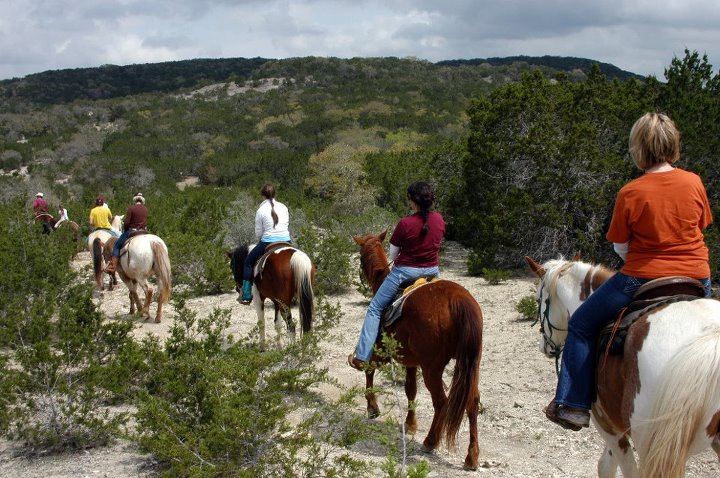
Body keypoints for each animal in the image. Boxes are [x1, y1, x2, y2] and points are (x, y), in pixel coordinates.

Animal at [350, 232, 484, 470]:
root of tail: (459, 300)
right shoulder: (411, 360)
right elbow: (410, 390)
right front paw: (410, 424)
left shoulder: (381, 350)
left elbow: (369, 370)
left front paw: (373, 407)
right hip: (471, 363)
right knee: (472, 402)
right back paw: (472, 456)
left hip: (433, 368)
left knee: (441, 401)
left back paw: (430, 442)